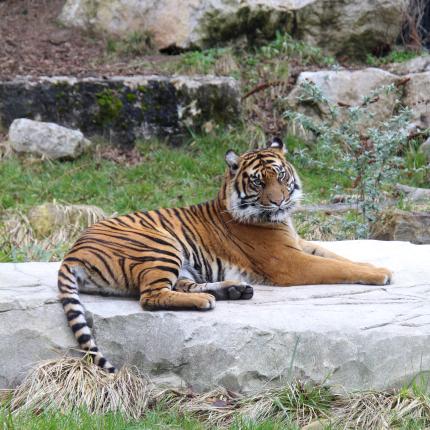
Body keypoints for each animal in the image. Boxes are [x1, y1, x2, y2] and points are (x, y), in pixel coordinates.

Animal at [58, 139, 394, 372]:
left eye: (281, 175)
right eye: (258, 181)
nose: (279, 201)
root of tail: (72, 252)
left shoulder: (299, 244)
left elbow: (338, 257)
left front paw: (376, 265)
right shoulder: (289, 262)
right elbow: (334, 267)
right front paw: (380, 274)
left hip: (181, 264)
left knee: (181, 286)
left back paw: (233, 290)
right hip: (160, 245)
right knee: (150, 296)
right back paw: (206, 301)